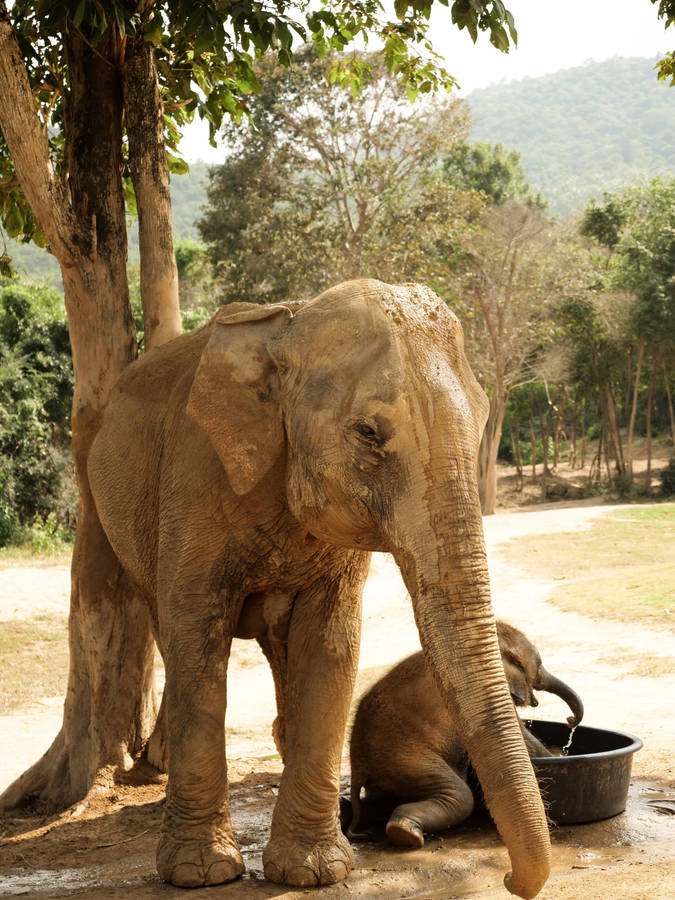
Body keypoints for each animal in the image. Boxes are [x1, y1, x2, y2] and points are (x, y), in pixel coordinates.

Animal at [87, 278, 552, 899]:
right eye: (368, 434)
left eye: (483, 422)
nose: (508, 879)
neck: (288, 324)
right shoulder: (193, 478)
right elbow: (196, 639)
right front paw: (200, 874)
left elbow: (330, 646)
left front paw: (313, 873)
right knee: (173, 636)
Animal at [347, 620, 584, 848]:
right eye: (539, 665)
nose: (570, 720)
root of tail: (357, 766)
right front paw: (553, 756)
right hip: (405, 759)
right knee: (459, 796)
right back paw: (406, 835)